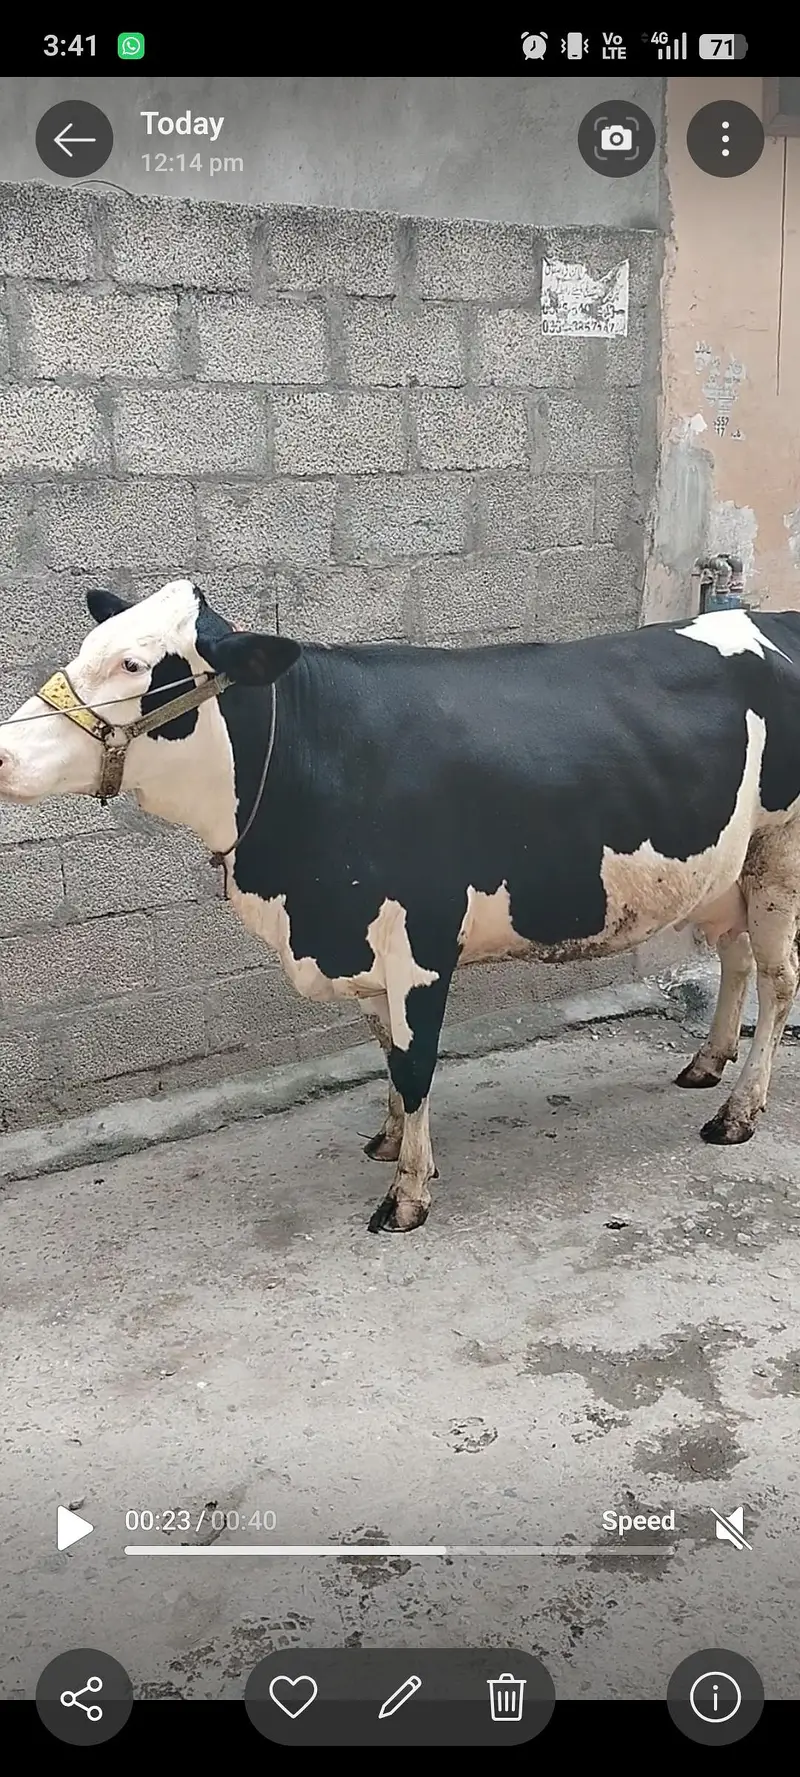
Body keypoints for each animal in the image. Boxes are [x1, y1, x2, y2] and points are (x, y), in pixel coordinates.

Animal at [1, 579, 799, 1234]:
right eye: (88, 648)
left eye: (136, 666)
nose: (3, 753)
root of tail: (774, 616)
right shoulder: (359, 943)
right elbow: (386, 1051)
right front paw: (391, 1144)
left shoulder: (420, 943)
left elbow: (415, 1065)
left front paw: (408, 1195)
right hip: (726, 867)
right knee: (735, 959)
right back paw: (706, 1062)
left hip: (779, 853)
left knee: (778, 979)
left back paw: (737, 1112)